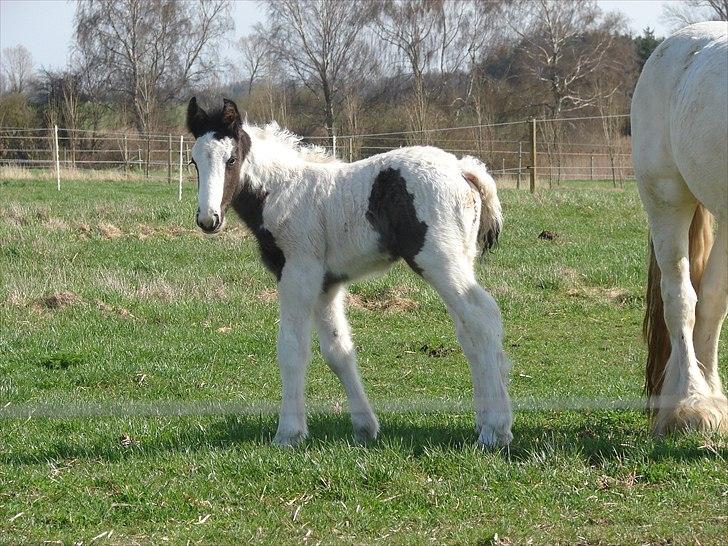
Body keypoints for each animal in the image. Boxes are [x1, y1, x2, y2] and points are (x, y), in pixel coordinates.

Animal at [186, 98, 512, 446]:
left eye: (231, 159)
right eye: (194, 161)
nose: (208, 219)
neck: (282, 191)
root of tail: (464, 168)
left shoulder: (298, 272)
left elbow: (292, 348)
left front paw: (288, 433)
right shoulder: (326, 285)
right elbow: (338, 351)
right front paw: (365, 428)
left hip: (438, 260)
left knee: (482, 317)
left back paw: (495, 430)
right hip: (461, 259)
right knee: (470, 331)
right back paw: (486, 423)